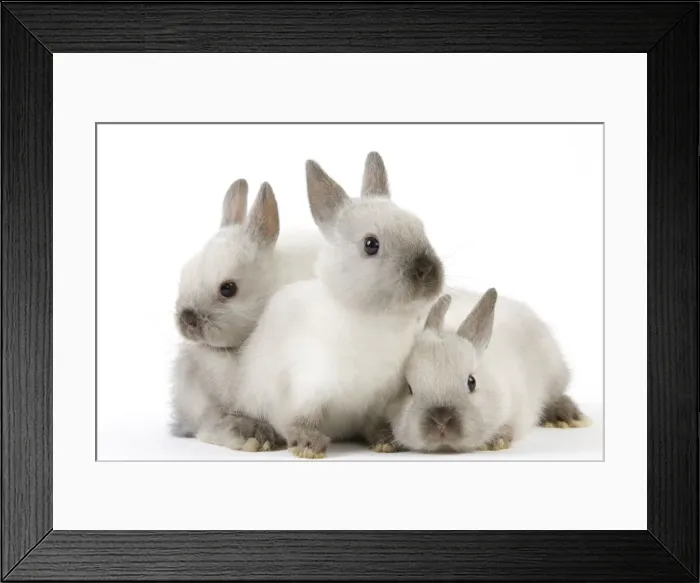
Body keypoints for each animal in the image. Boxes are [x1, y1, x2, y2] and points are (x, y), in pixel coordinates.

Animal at [232, 152, 445, 458]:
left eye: (420, 228)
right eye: (370, 244)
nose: (427, 270)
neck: (375, 320)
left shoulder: (379, 399)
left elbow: (374, 422)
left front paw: (385, 441)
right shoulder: (305, 389)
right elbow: (298, 419)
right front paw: (308, 446)